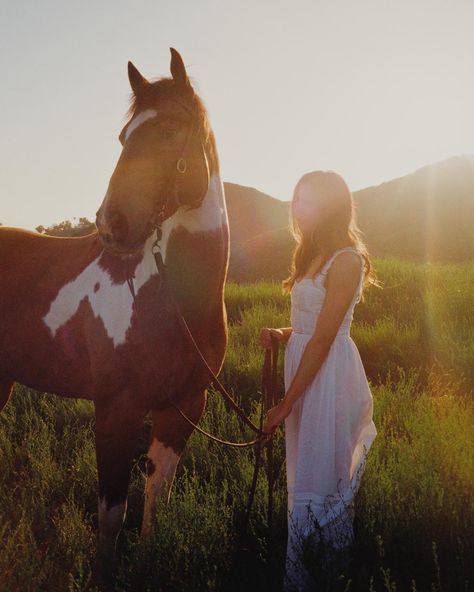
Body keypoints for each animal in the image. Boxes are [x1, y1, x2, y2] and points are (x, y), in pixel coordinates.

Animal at [0, 47, 230, 588]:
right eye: (124, 137)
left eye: (170, 130)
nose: (112, 225)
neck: (173, 299)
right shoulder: (115, 409)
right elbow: (110, 513)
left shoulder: (183, 408)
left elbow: (155, 500)